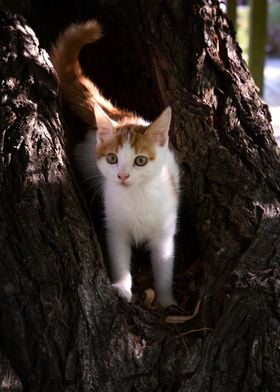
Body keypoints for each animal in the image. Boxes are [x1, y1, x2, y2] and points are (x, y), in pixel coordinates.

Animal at [51, 19, 180, 308]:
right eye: (112, 158)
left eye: (140, 161)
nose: (121, 175)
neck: (137, 198)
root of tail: (121, 115)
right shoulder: (115, 227)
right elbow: (119, 257)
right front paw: (122, 287)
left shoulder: (164, 231)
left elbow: (164, 266)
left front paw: (166, 299)